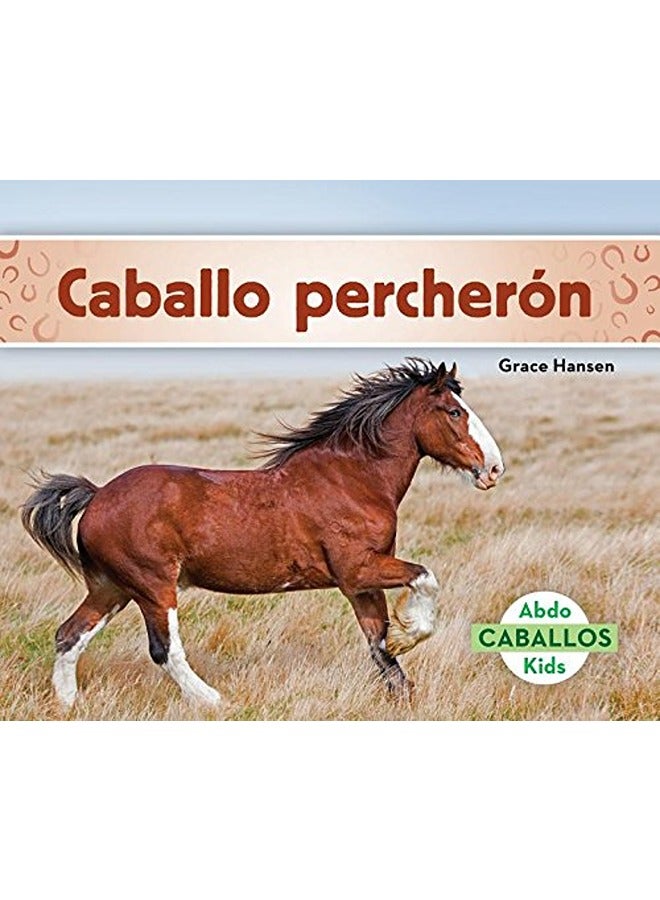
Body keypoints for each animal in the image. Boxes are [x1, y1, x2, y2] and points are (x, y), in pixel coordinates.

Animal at [21, 358, 504, 710]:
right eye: (455, 412)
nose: (494, 469)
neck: (352, 478)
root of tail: (97, 496)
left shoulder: (360, 584)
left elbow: (378, 642)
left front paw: (403, 692)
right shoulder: (358, 569)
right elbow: (424, 578)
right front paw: (412, 631)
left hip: (111, 588)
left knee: (68, 635)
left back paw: (68, 705)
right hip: (153, 587)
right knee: (164, 650)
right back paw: (214, 701)